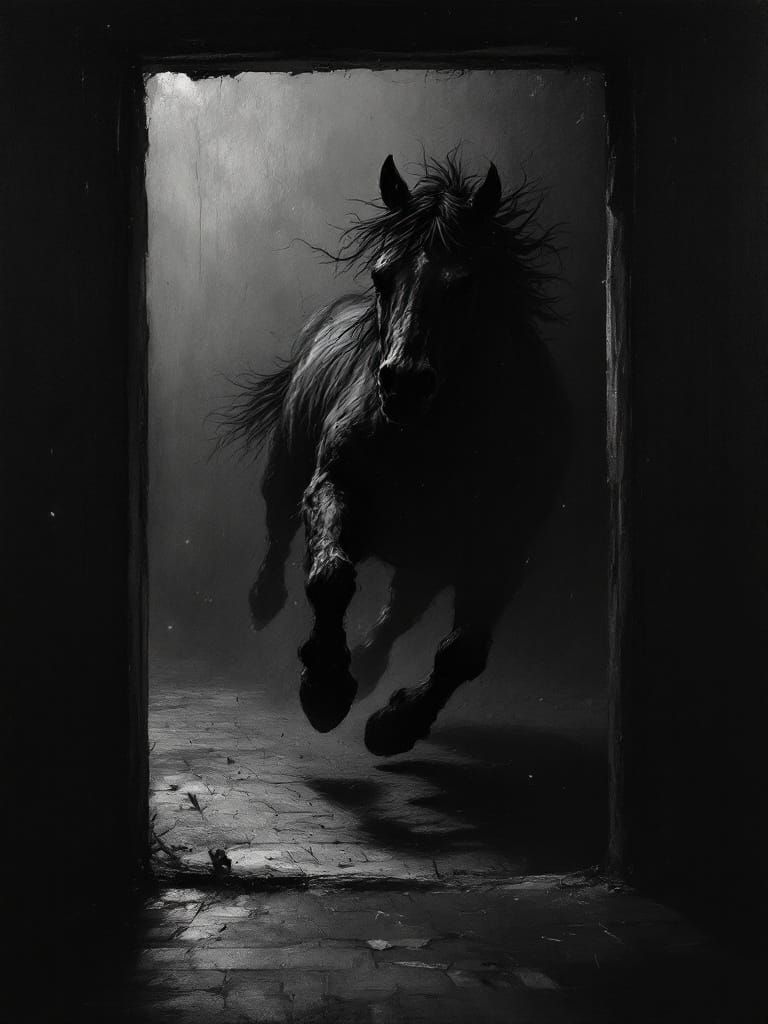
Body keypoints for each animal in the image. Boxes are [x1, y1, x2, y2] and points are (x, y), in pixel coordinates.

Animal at [218, 152, 569, 757]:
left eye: (465, 284)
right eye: (382, 276)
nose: (403, 384)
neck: (433, 440)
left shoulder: (503, 547)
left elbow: (463, 651)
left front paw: (394, 723)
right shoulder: (333, 486)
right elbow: (330, 576)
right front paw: (324, 690)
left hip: (429, 554)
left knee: (403, 607)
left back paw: (369, 668)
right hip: (285, 467)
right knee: (278, 526)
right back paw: (265, 603)